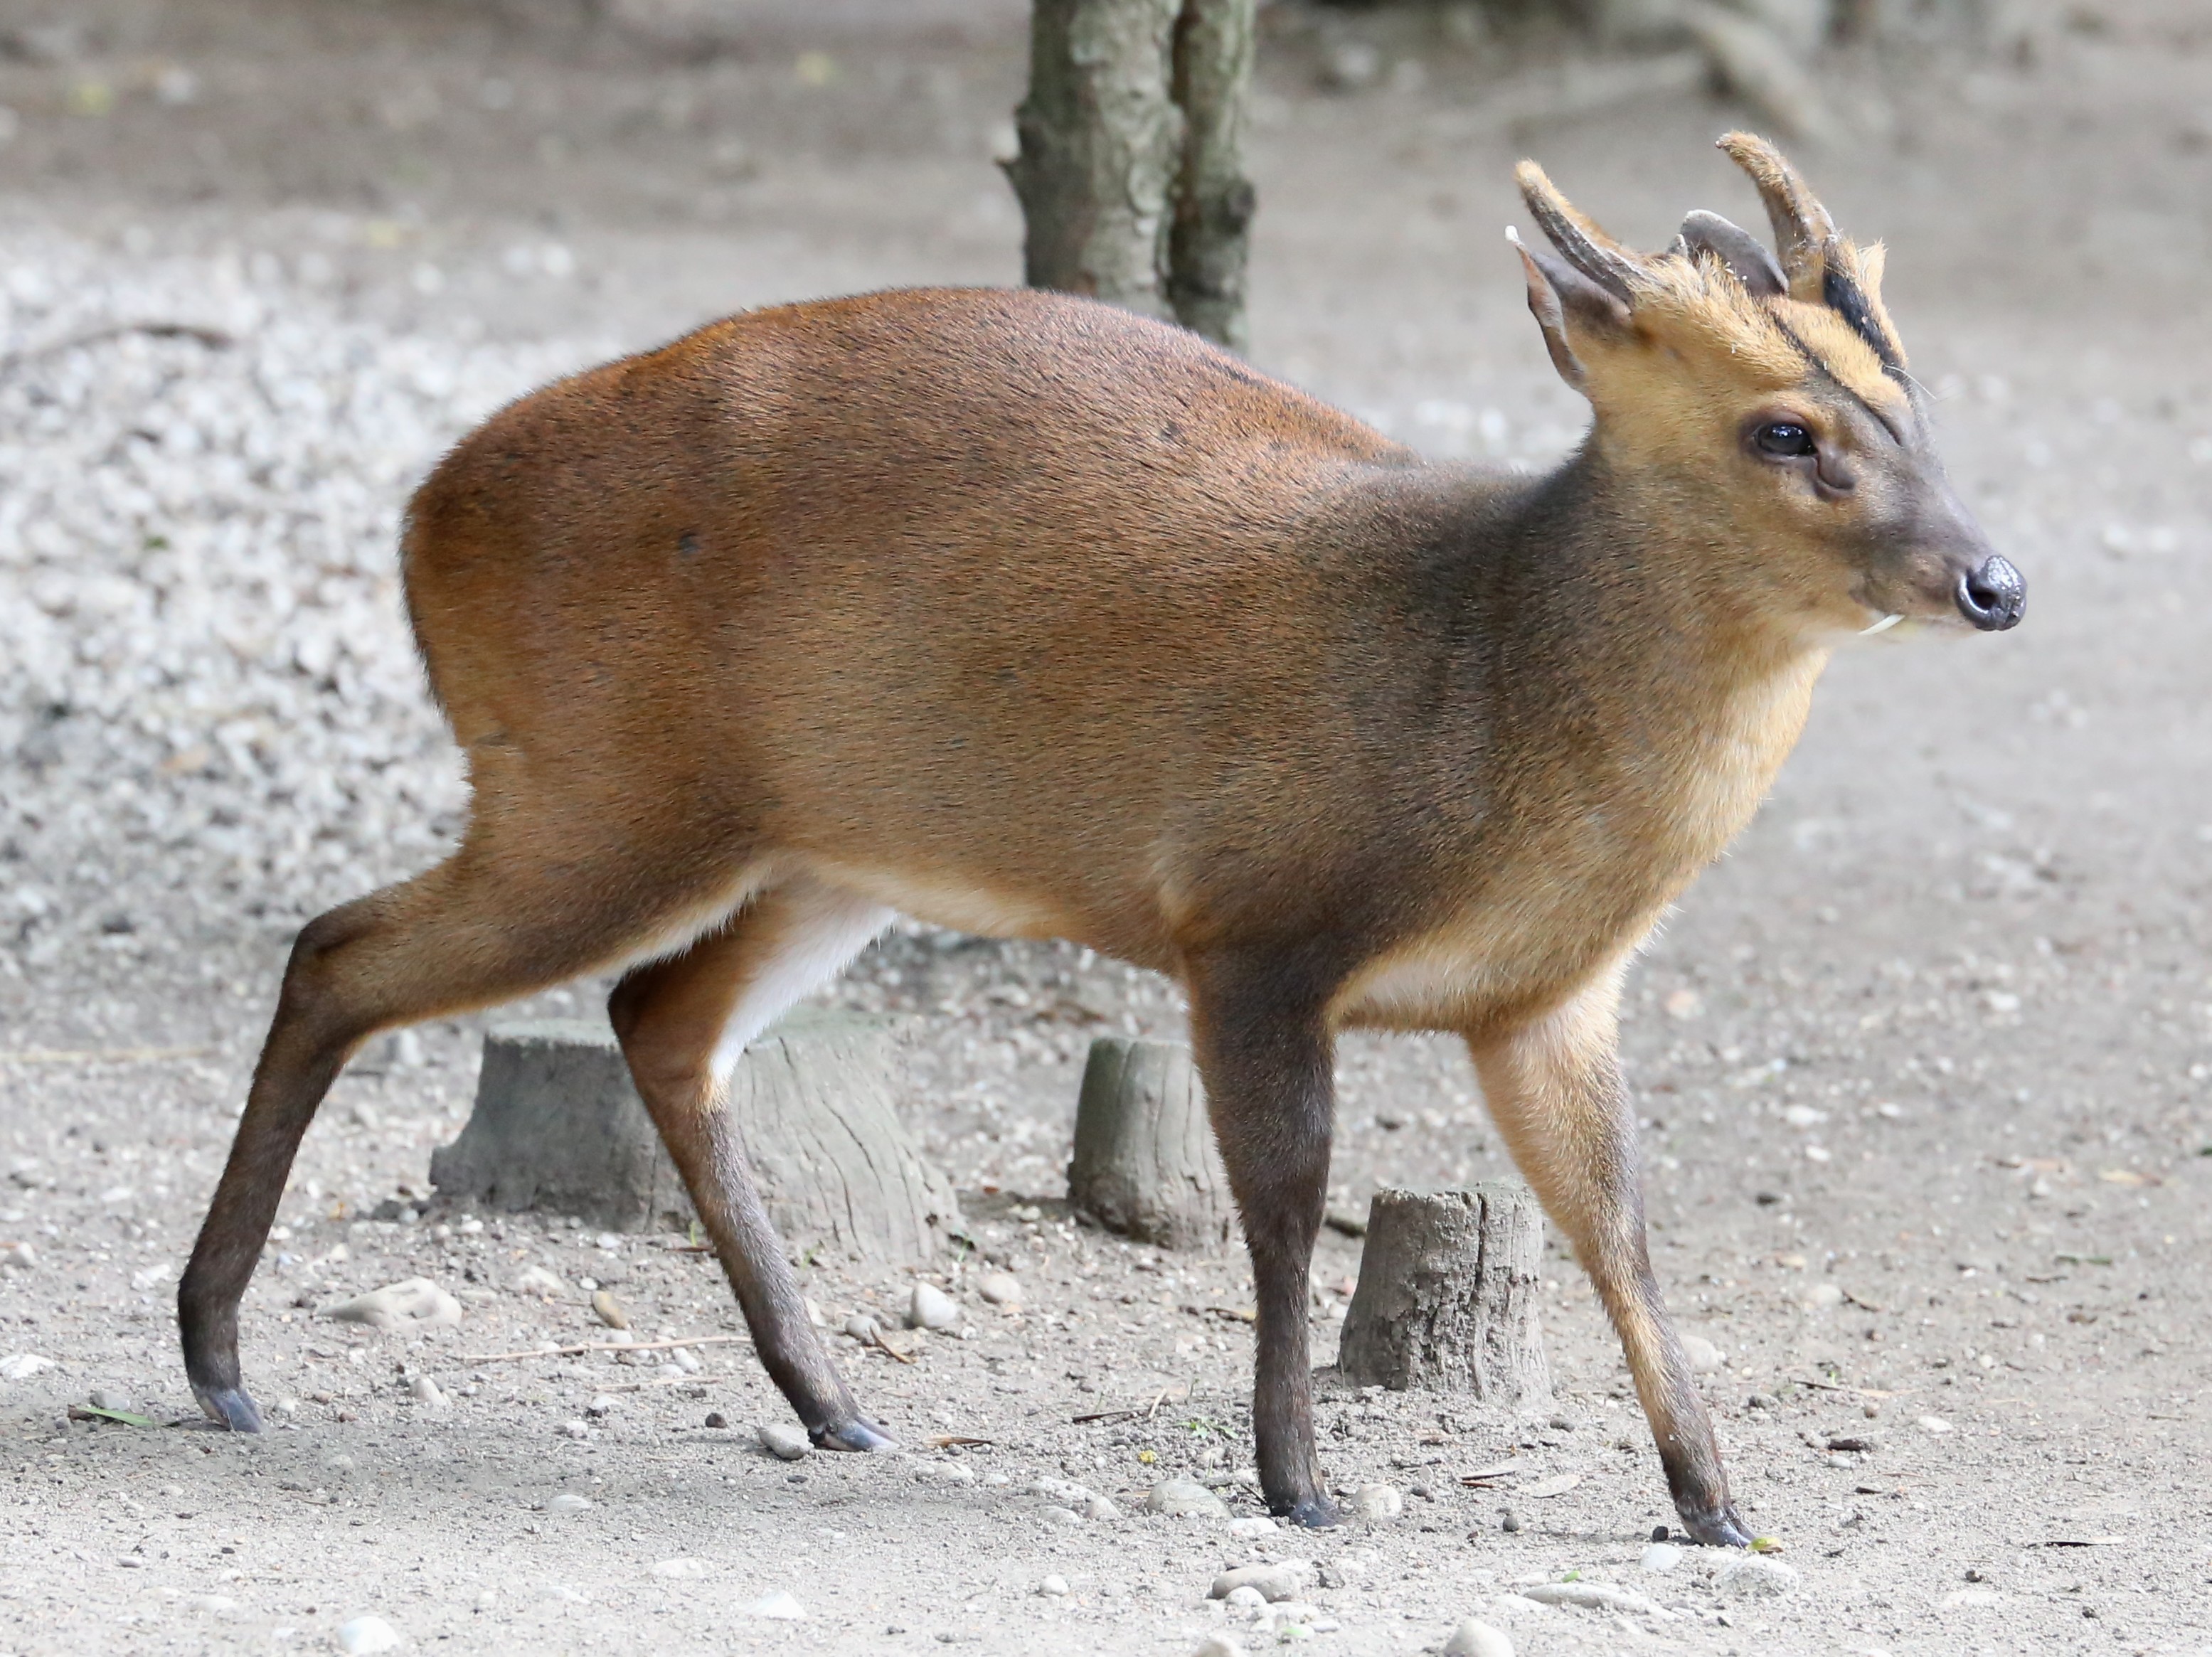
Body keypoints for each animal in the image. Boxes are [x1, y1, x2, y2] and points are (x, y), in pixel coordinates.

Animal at [186, 135, 2026, 1548]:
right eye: (1783, 428)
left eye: (1915, 402)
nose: (1992, 579)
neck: (1483, 697)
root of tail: (421, 513)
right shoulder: (1251, 923)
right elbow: (1285, 1205)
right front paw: (1299, 1482)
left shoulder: (1542, 996)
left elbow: (1618, 1222)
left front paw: (1716, 1502)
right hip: (588, 788)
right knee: (341, 948)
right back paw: (216, 1359)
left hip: (811, 853)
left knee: (658, 1019)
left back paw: (836, 1401)